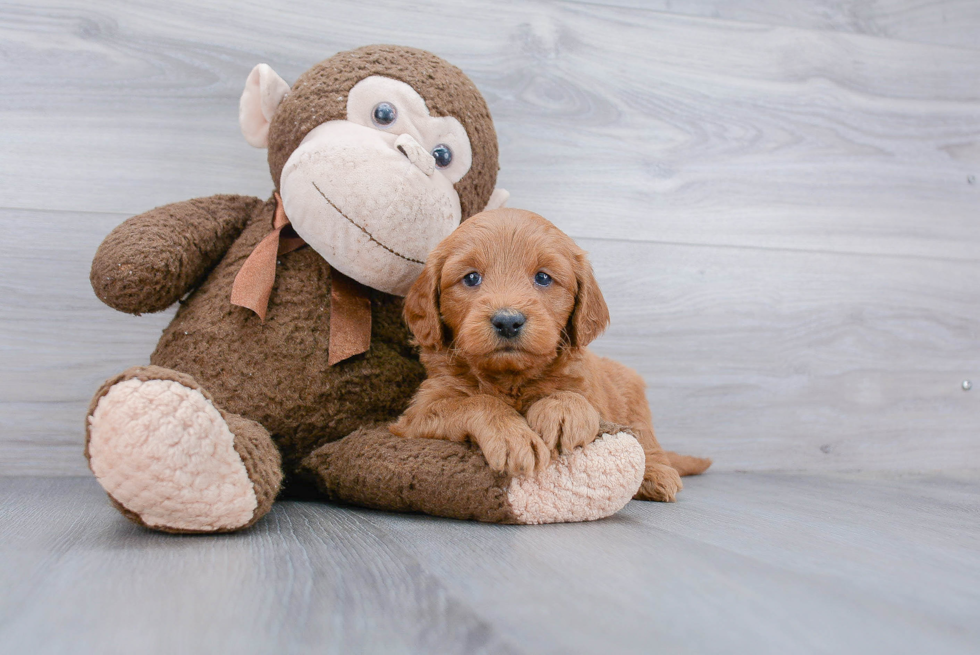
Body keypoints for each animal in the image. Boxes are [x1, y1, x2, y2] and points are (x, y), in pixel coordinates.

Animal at [390, 210, 712, 502]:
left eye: (543, 278)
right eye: (471, 278)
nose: (508, 321)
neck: (510, 378)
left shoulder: (591, 392)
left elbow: (574, 395)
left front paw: (562, 411)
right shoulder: (418, 414)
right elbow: (474, 402)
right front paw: (512, 436)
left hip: (633, 397)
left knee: (647, 439)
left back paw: (657, 473)